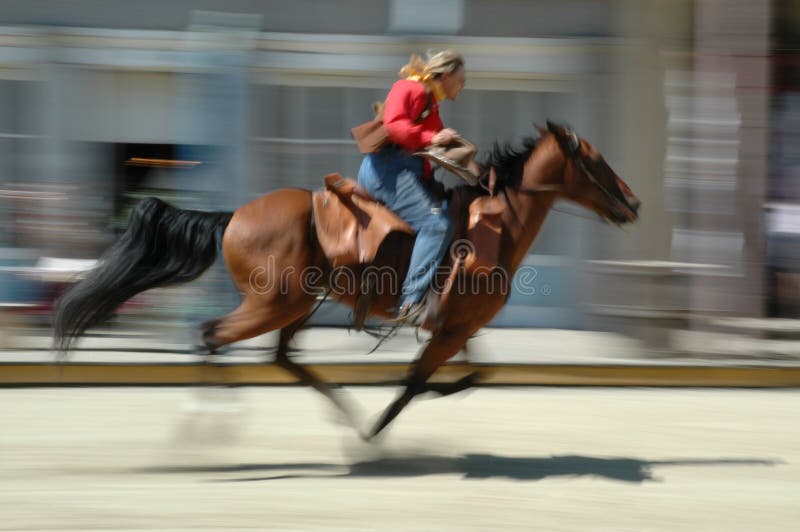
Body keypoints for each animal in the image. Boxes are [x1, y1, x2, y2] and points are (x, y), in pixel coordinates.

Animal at [53, 121, 640, 439]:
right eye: (594, 160)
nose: (633, 202)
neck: (494, 223)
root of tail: (234, 215)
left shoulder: (460, 327)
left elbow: (474, 376)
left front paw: (403, 406)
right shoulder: (451, 330)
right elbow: (418, 382)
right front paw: (382, 427)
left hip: (295, 308)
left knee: (280, 358)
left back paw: (342, 412)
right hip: (274, 304)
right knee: (211, 336)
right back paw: (210, 424)